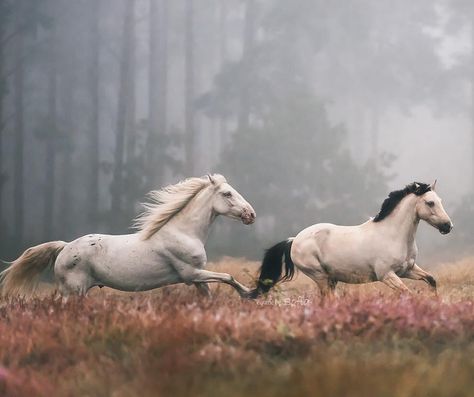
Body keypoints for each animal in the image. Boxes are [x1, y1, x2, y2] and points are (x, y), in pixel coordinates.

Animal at [0, 174, 256, 296]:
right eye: (227, 194)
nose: (251, 214)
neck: (183, 233)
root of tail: (64, 247)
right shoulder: (191, 273)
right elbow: (228, 277)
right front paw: (250, 293)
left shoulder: (196, 278)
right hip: (74, 291)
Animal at [248, 179, 452, 296]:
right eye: (430, 203)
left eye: (440, 201)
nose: (448, 226)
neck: (394, 236)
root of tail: (294, 240)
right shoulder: (387, 275)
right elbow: (407, 293)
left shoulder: (407, 270)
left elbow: (431, 280)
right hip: (320, 277)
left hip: (331, 279)